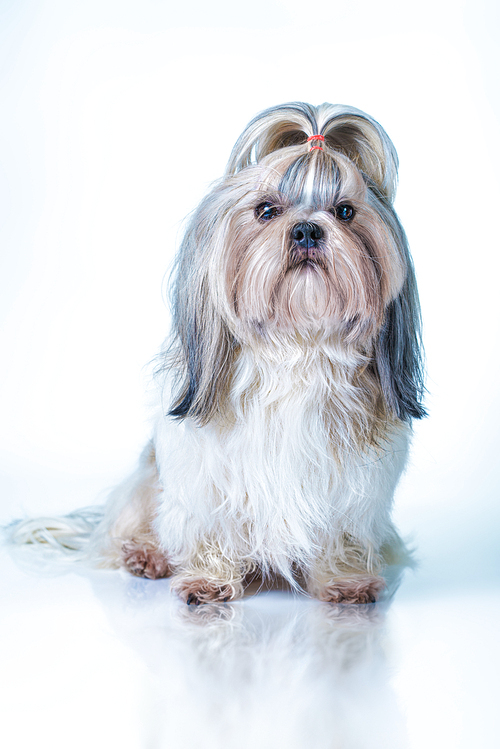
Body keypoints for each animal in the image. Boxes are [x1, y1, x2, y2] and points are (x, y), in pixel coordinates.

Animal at [9, 102, 424, 600]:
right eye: (266, 211)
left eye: (345, 211)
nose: (306, 230)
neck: (297, 346)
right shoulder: (203, 474)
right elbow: (208, 524)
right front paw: (207, 579)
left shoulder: (353, 486)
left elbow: (342, 533)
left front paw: (345, 581)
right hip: (148, 480)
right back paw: (146, 555)